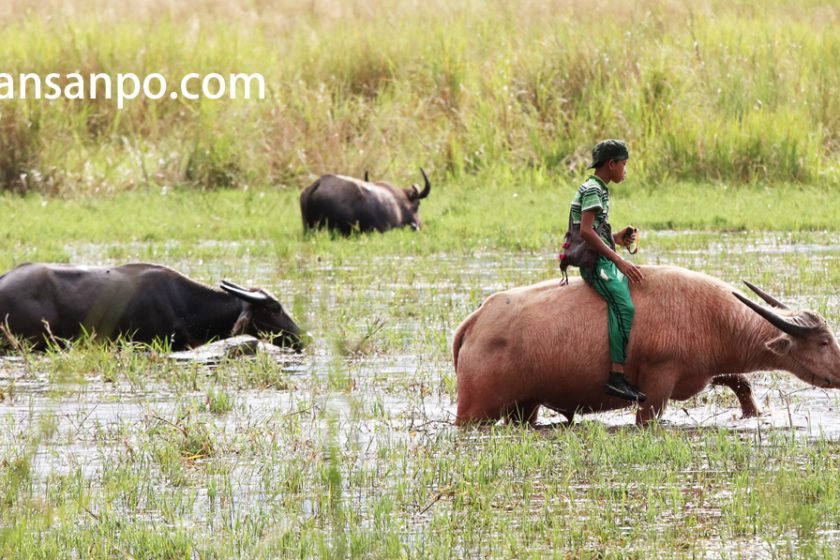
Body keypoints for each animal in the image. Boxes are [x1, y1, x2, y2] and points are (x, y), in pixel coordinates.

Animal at [452, 266, 840, 424]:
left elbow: (741, 383)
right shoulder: (655, 388)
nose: (839, 372)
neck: (711, 317)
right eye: (823, 342)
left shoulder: (703, 372)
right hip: (475, 411)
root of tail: (475, 321)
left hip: (526, 407)